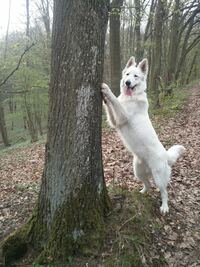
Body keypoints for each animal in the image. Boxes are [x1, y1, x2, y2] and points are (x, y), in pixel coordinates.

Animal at [101, 57, 184, 215]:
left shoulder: (123, 116)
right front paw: (105, 97)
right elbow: (110, 106)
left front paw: (106, 89)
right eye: (127, 74)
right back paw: (142, 192)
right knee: (148, 184)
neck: (132, 97)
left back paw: (164, 207)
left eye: (136, 76)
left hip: (159, 177)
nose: (127, 82)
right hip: (137, 171)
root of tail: (166, 155)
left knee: (164, 192)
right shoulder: (115, 121)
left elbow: (116, 101)